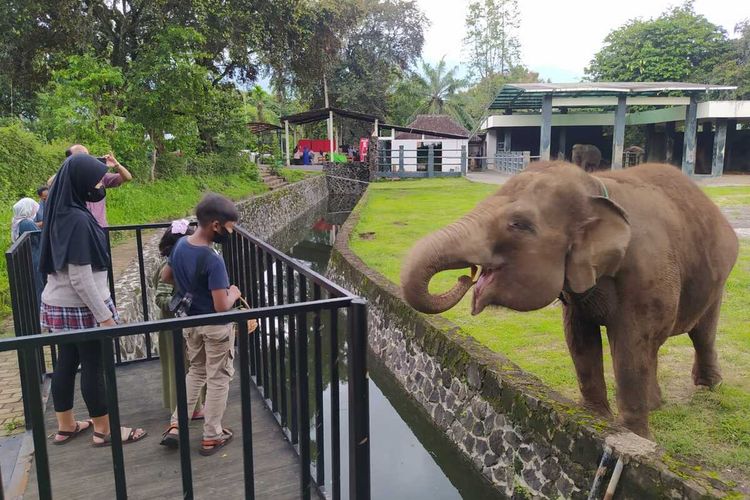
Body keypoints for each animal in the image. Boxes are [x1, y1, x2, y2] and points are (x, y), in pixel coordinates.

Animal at [402, 161, 736, 438]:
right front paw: (595, 420)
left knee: (701, 333)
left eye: (519, 224)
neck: (598, 187)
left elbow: (630, 349)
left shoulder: (646, 277)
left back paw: (710, 387)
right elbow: (579, 340)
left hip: (717, 280)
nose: (466, 276)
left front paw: (638, 439)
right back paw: (657, 403)